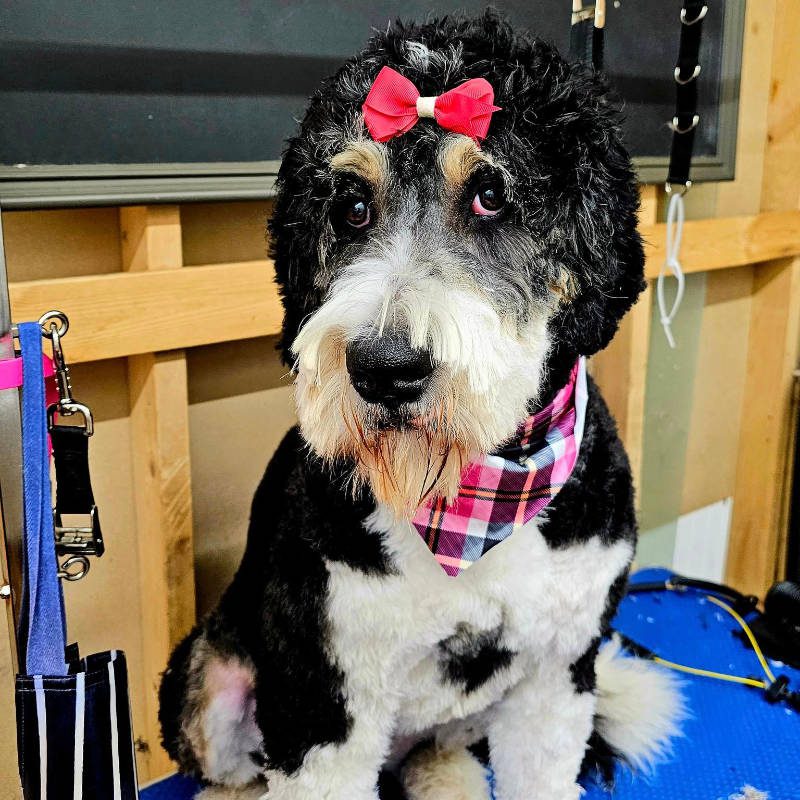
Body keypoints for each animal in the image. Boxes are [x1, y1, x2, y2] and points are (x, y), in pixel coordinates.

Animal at [158, 14, 680, 800]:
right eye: (350, 207)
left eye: (492, 194)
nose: (385, 368)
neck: (473, 501)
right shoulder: (325, 700)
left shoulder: (556, 676)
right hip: (212, 685)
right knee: (232, 773)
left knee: (439, 748)